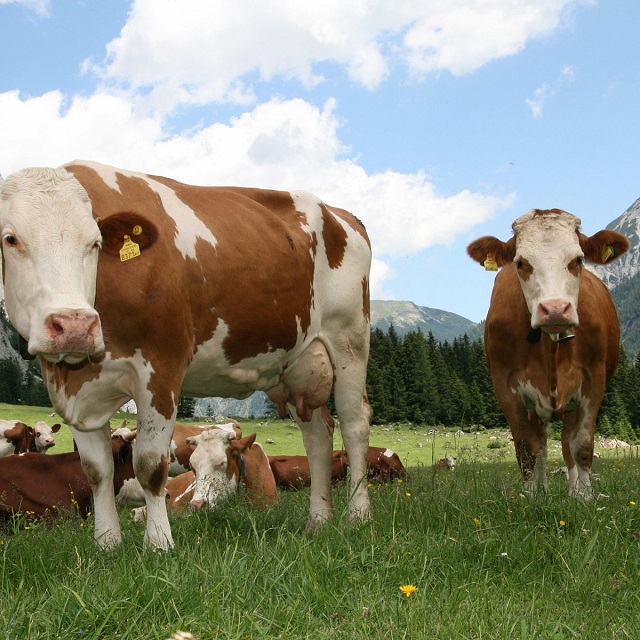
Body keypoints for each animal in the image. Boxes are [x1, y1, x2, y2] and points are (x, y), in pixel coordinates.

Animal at [0, 160, 372, 552]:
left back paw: (358, 515)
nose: (74, 324)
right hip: (299, 363)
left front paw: (159, 544)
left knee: (354, 424)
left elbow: (150, 466)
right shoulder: (78, 389)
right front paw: (107, 544)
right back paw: (318, 521)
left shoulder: (161, 369)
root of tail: (341, 214)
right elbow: (96, 471)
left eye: (95, 243)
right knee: (317, 435)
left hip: (349, 339)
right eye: (10, 239)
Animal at [468, 208, 628, 498]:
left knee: (566, 445)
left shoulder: (593, 380)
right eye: (521, 263)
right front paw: (531, 497)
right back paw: (543, 490)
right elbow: (527, 448)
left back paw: (574, 491)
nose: (554, 309)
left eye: (578, 259)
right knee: (541, 445)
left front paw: (585, 498)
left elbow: (581, 446)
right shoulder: (505, 384)